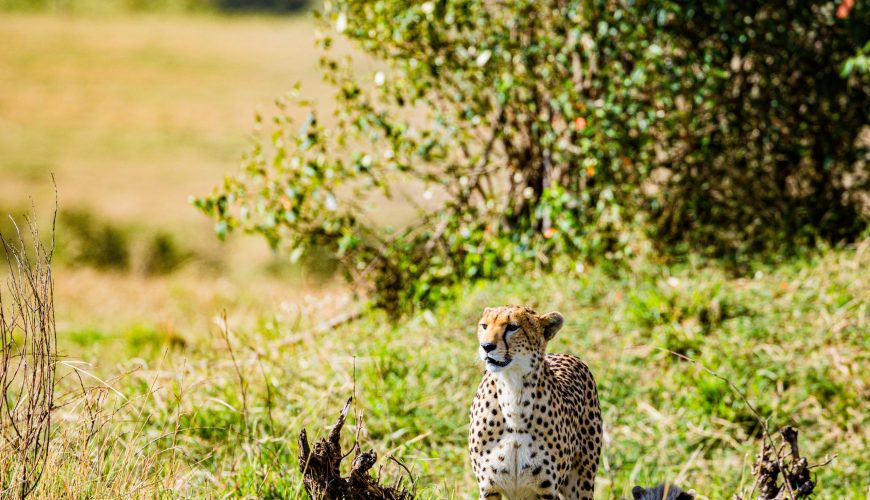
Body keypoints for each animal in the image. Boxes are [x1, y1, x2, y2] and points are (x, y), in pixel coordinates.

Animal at [468, 306, 602, 499]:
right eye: (484, 326)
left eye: (512, 327)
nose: (486, 346)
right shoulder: (489, 489)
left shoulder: (546, 490)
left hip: (581, 483)